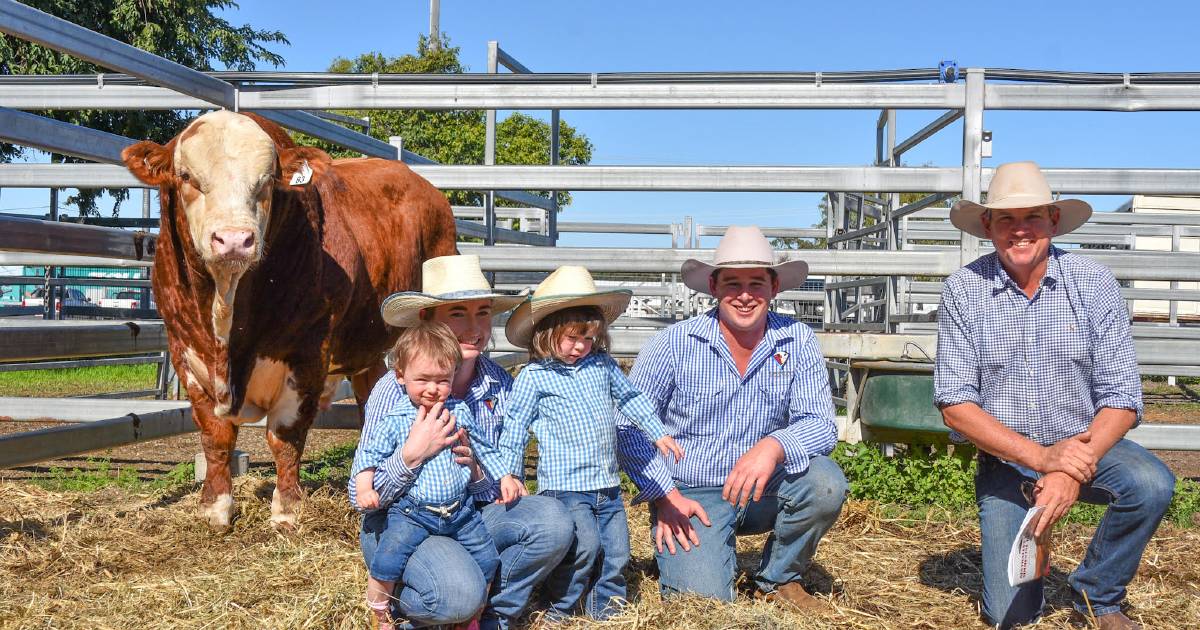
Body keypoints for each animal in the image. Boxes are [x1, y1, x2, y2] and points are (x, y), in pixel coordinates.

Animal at [124, 110, 456, 528]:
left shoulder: (308, 353)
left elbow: (285, 436)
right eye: (186, 177)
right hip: (368, 349)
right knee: (370, 401)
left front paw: (287, 509)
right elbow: (215, 436)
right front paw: (215, 506)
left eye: (267, 181)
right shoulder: (185, 350)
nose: (234, 240)